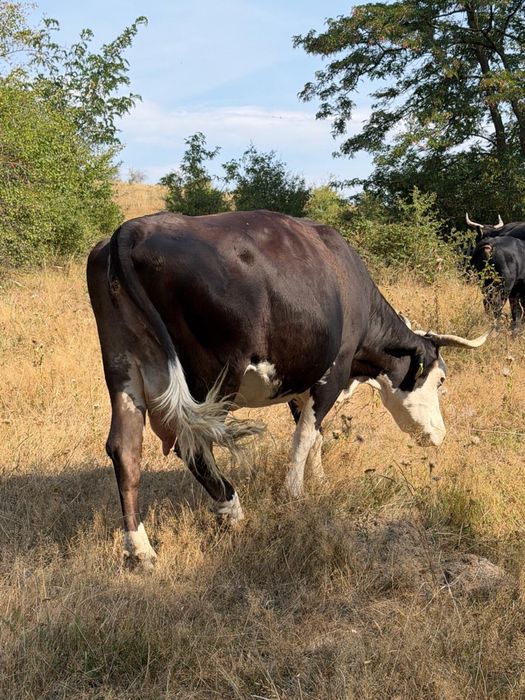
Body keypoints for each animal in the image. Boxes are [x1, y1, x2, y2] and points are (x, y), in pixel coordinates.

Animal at [87, 210, 488, 568]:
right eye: (440, 380)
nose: (439, 435)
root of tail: (133, 229)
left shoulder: (302, 384)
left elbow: (316, 436)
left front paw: (319, 481)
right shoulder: (331, 374)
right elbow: (305, 437)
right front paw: (295, 493)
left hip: (123, 370)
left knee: (125, 449)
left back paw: (140, 549)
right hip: (213, 378)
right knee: (194, 444)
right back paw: (232, 511)